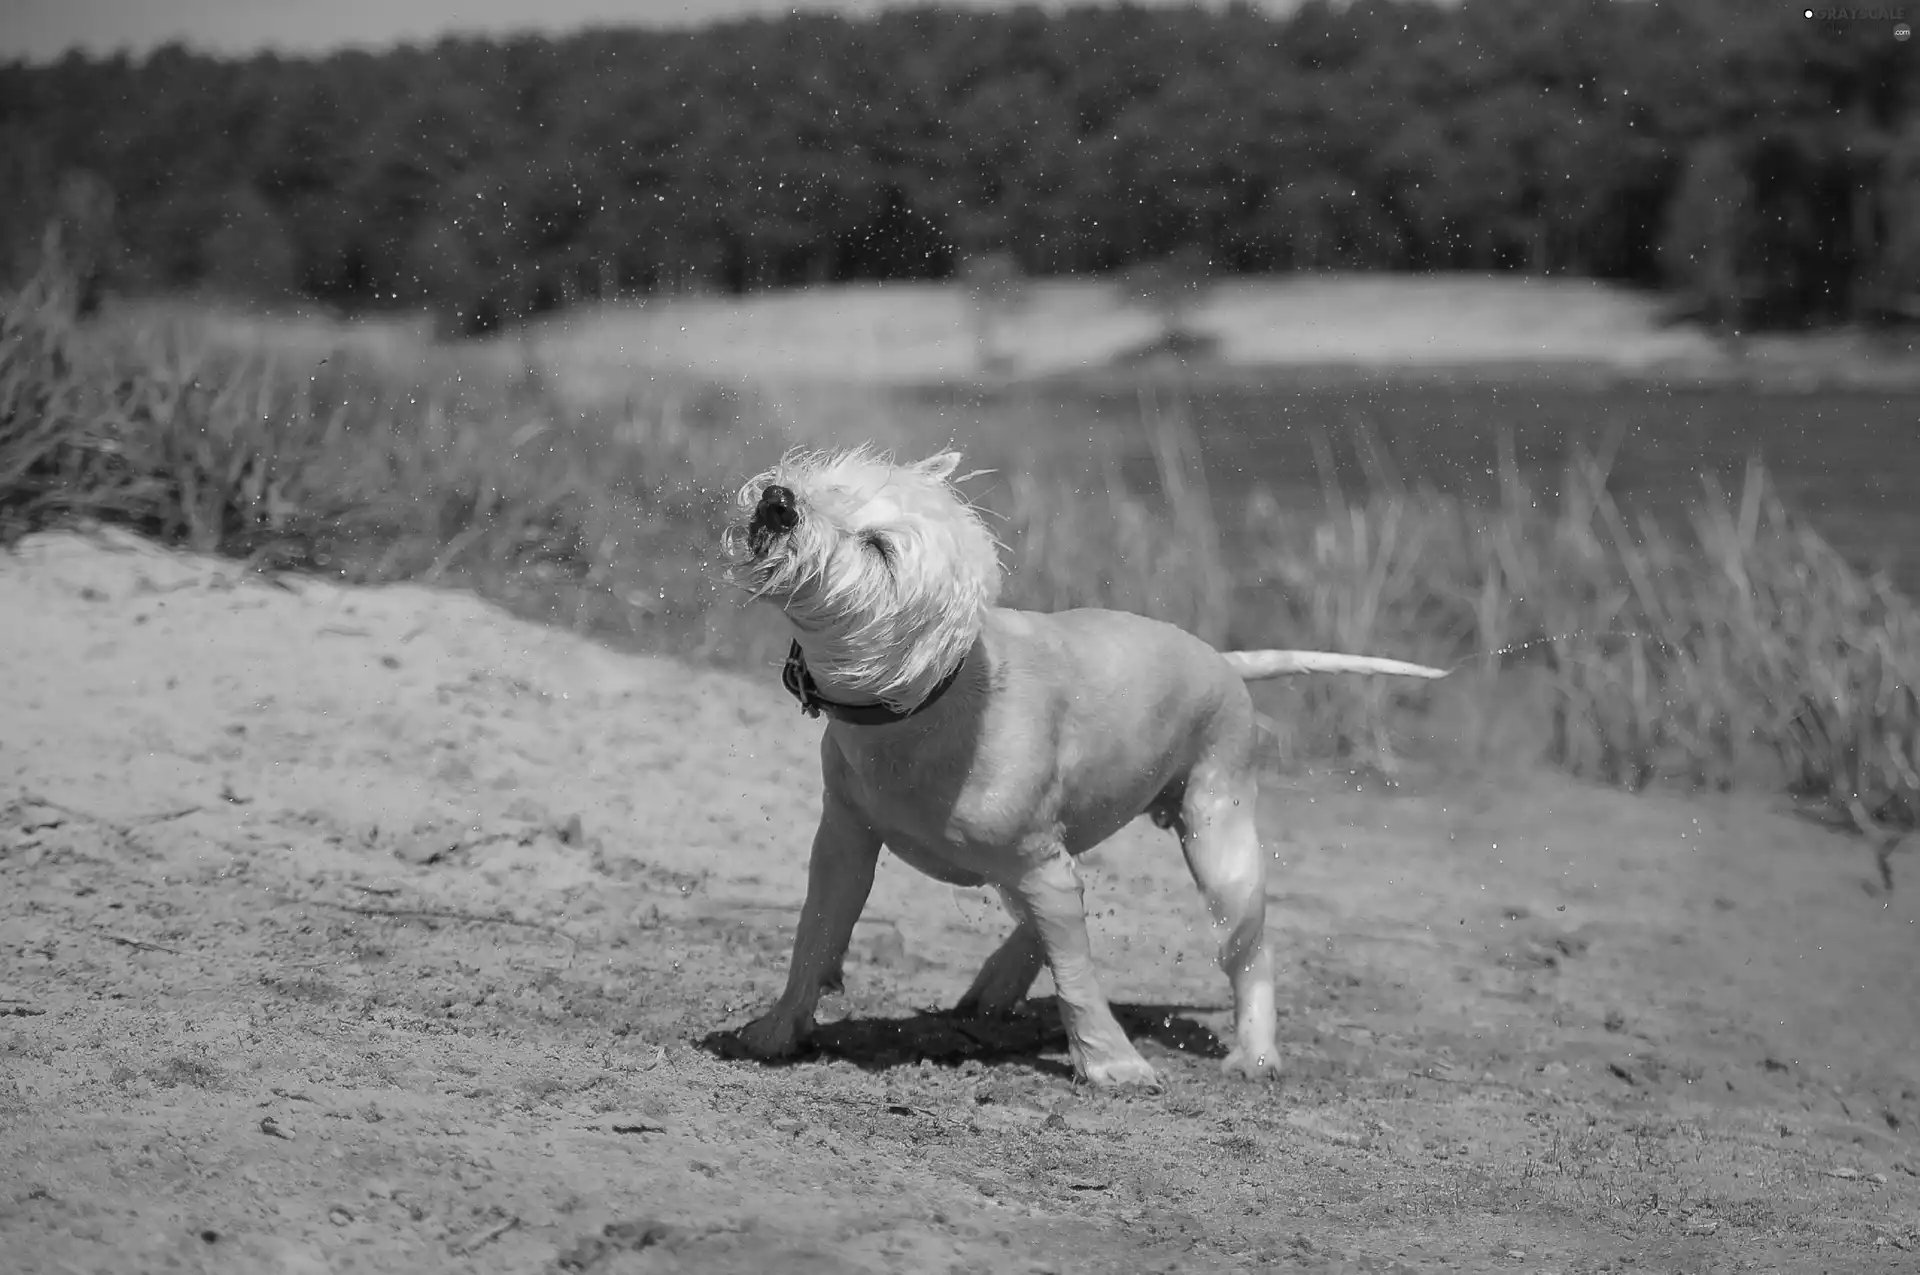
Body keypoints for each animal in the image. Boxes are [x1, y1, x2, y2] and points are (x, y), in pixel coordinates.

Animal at [721, 447, 1443, 1082]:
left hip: (1220, 833)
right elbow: (815, 933)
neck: (927, 700)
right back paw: (1000, 979)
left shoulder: (1038, 862)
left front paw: (1111, 1064)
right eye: (828, 480)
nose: (780, 501)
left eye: (879, 548)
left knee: (1246, 945)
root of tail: (1224, 660)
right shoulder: (845, 840)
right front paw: (780, 1028)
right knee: (1058, 903)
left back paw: (1257, 1054)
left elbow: (1077, 973)